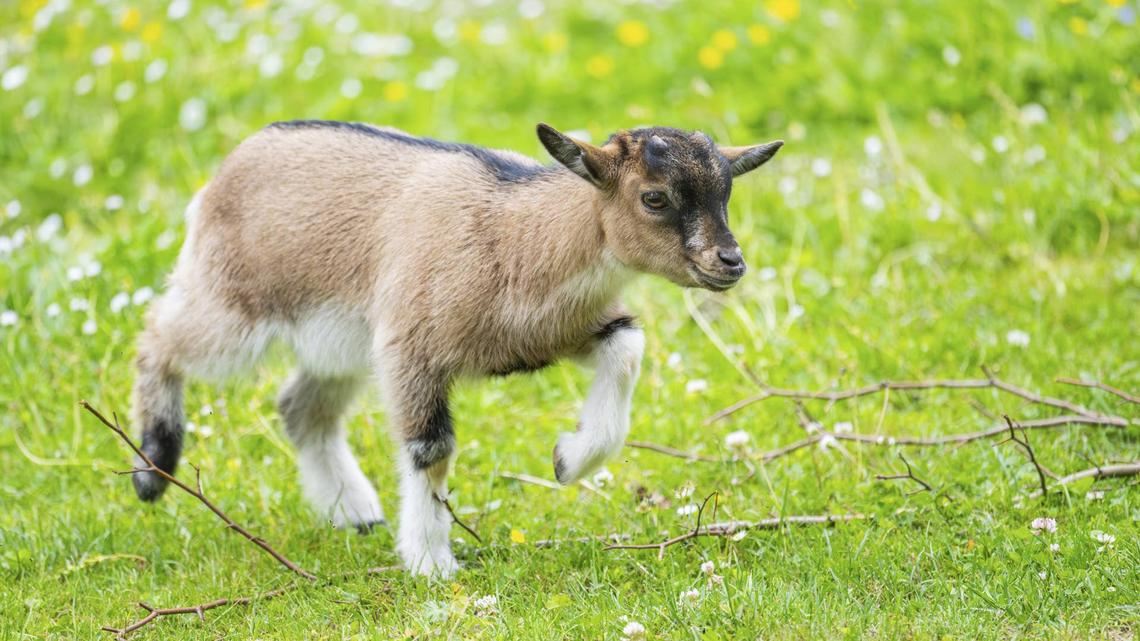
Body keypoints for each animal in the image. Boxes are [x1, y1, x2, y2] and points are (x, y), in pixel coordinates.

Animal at [131, 121, 782, 576]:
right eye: (654, 198)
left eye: (726, 193)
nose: (730, 263)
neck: (517, 237)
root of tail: (224, 174)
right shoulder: (411, 350)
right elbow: (431, 448)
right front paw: (431, 563)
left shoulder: (553, 333)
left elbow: (627, 347)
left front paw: (567, 459)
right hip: (236, 307)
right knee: (158, 333)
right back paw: (152, 470)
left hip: (340, 340)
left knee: (301, 406)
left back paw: (355, 512)